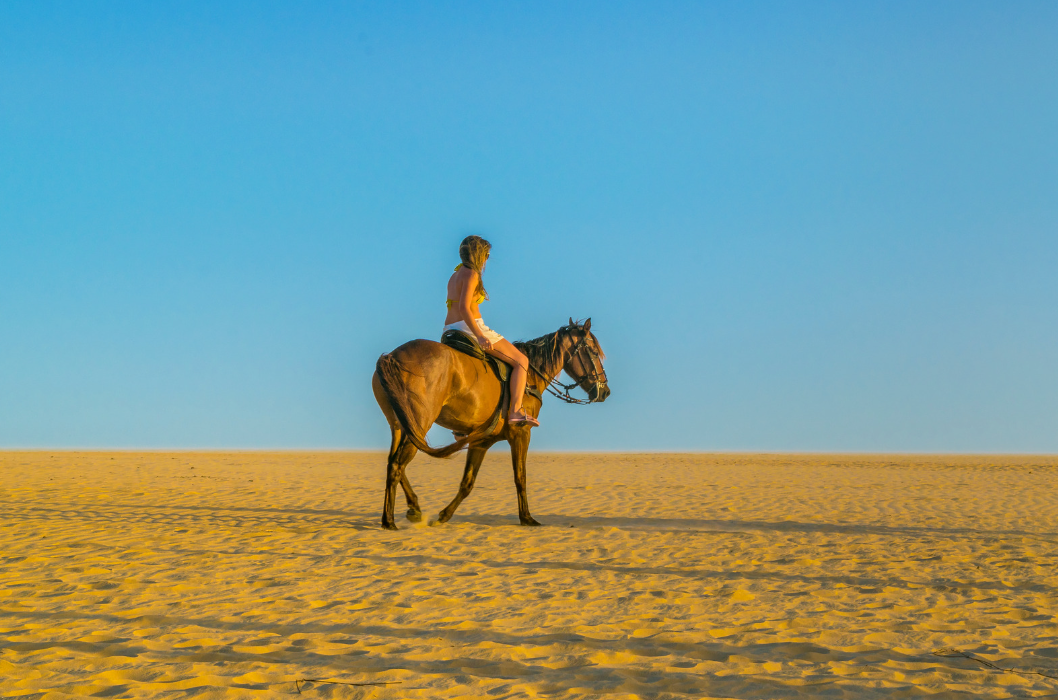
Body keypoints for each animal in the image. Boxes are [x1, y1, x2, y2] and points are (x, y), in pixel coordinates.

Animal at [372, 318, 609, 529]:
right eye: (594, 352)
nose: (605, 391)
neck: (529, 377)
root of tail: (391, 357)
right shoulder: (522, 434)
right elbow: (520, 477)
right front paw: (527, 518)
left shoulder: (481, 442)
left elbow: (467, 483)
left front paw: (443, 516)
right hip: (420, 424)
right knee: (397, 464)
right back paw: (389, 521)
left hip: (401, 425)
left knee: (393, 462)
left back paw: (412, 509)